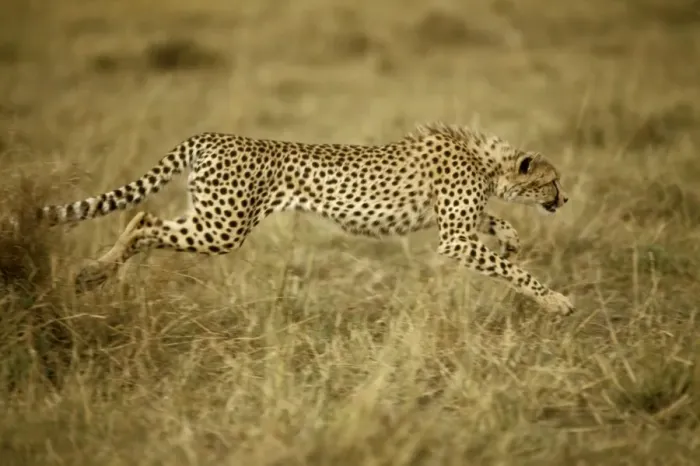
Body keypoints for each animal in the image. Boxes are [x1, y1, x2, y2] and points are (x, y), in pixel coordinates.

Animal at [37, 122, 574, 315]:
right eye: (552, 181)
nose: (565, 199)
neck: (488, 162)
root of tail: (215, 135)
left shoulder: (454, 225)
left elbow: (495, 226)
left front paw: (511, 237)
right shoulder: (454, 238)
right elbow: (512, 270)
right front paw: (555, 301)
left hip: (210, 216)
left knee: (144, 217)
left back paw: (98, 274)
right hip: (222, 227)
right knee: (145, 222)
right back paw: (93, 272)